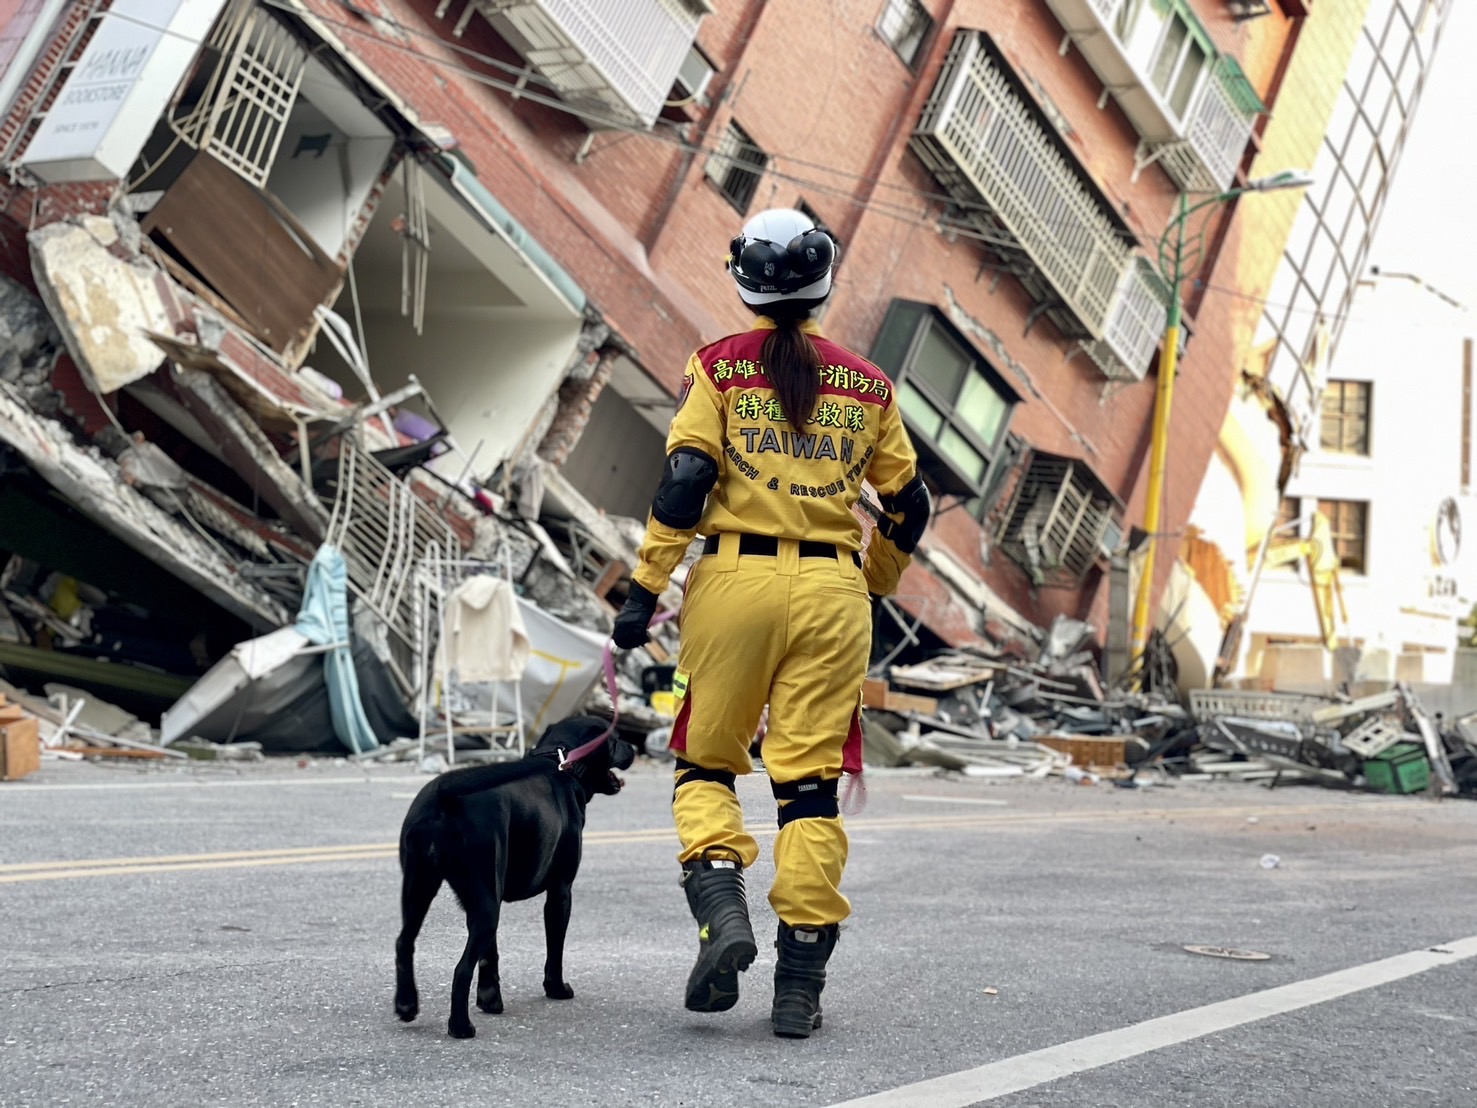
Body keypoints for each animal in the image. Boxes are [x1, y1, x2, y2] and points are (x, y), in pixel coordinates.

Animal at [392, 720, 635, 1040]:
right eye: (615, 740)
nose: (634, 747)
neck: (562, 761)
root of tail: (442, 796)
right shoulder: (560, 892)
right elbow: (555, 947)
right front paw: (556, 989)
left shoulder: (485, 896)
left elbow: (490, 955)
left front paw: (490, 999)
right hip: (482, 904)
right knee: (461, 969)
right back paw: (460, 1027)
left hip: (421, 889)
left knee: (404, 942)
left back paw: (407, 1004)